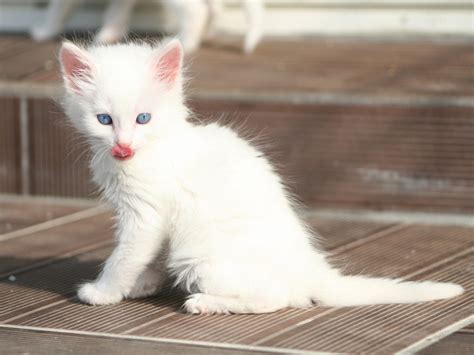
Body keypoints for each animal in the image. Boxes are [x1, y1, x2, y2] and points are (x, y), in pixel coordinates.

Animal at [58, 40, 462, 316]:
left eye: (143, 118)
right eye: (104, 120)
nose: (123, 145)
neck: (154, 147)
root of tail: (312, 268)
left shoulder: (145, 215)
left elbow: (125, 256)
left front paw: (104, 291)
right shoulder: (147, 218)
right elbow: (146, 255)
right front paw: (145, 283)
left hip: (199, 257)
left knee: (278, 298)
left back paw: (206, 302)